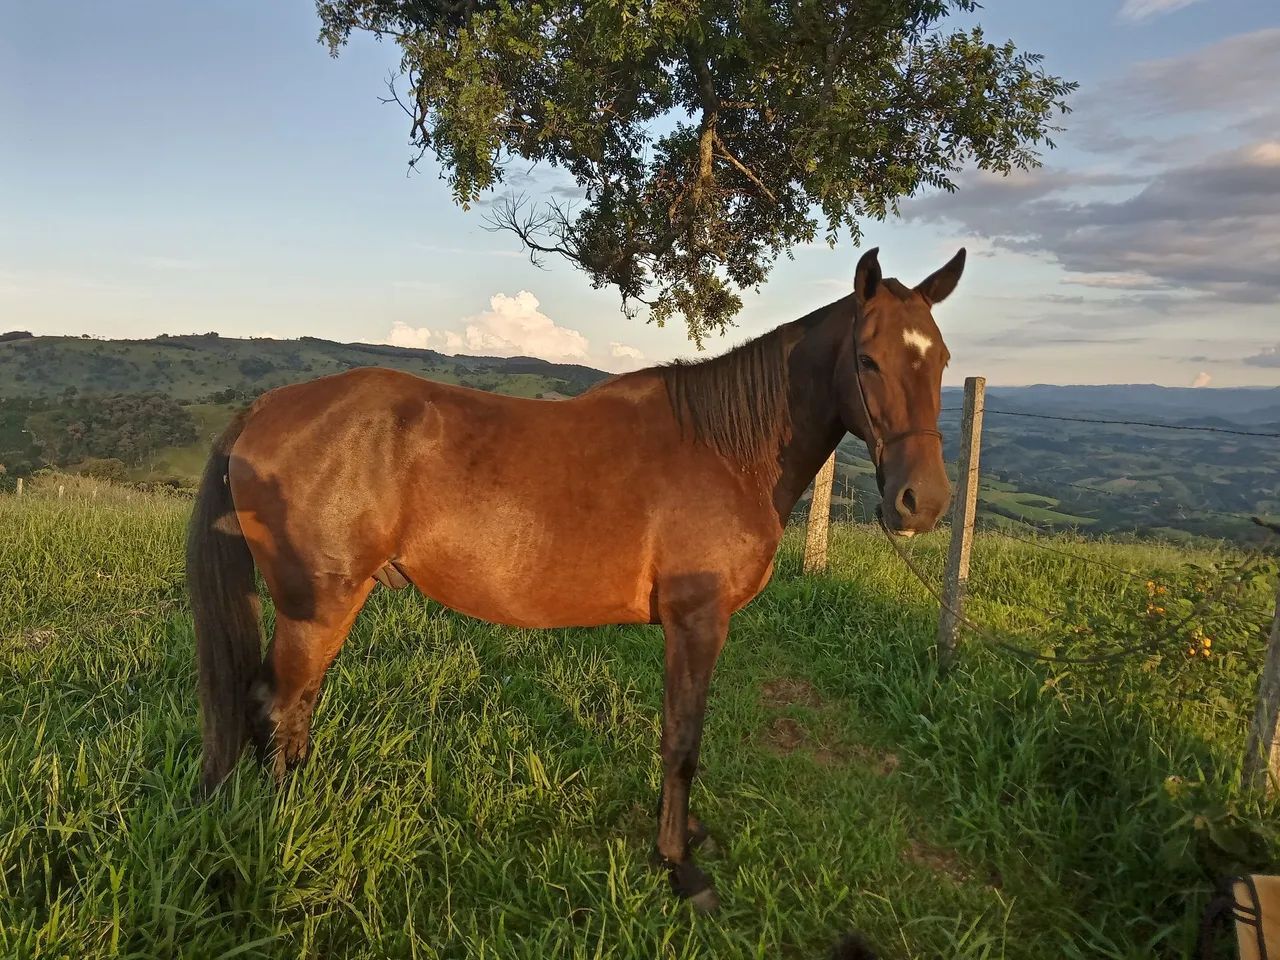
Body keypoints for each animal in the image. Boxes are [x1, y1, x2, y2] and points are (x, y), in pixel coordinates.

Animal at [187, 246, 964, 911]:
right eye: (867, 360)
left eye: (942, 360)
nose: (921, 502)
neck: (725, 450)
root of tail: (267, 407)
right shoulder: (697, 620)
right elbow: (683, 742)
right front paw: (680, 865)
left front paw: (684, 836)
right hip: (317, 606)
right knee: (276, 704)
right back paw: (283, 826)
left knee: (291, 705)